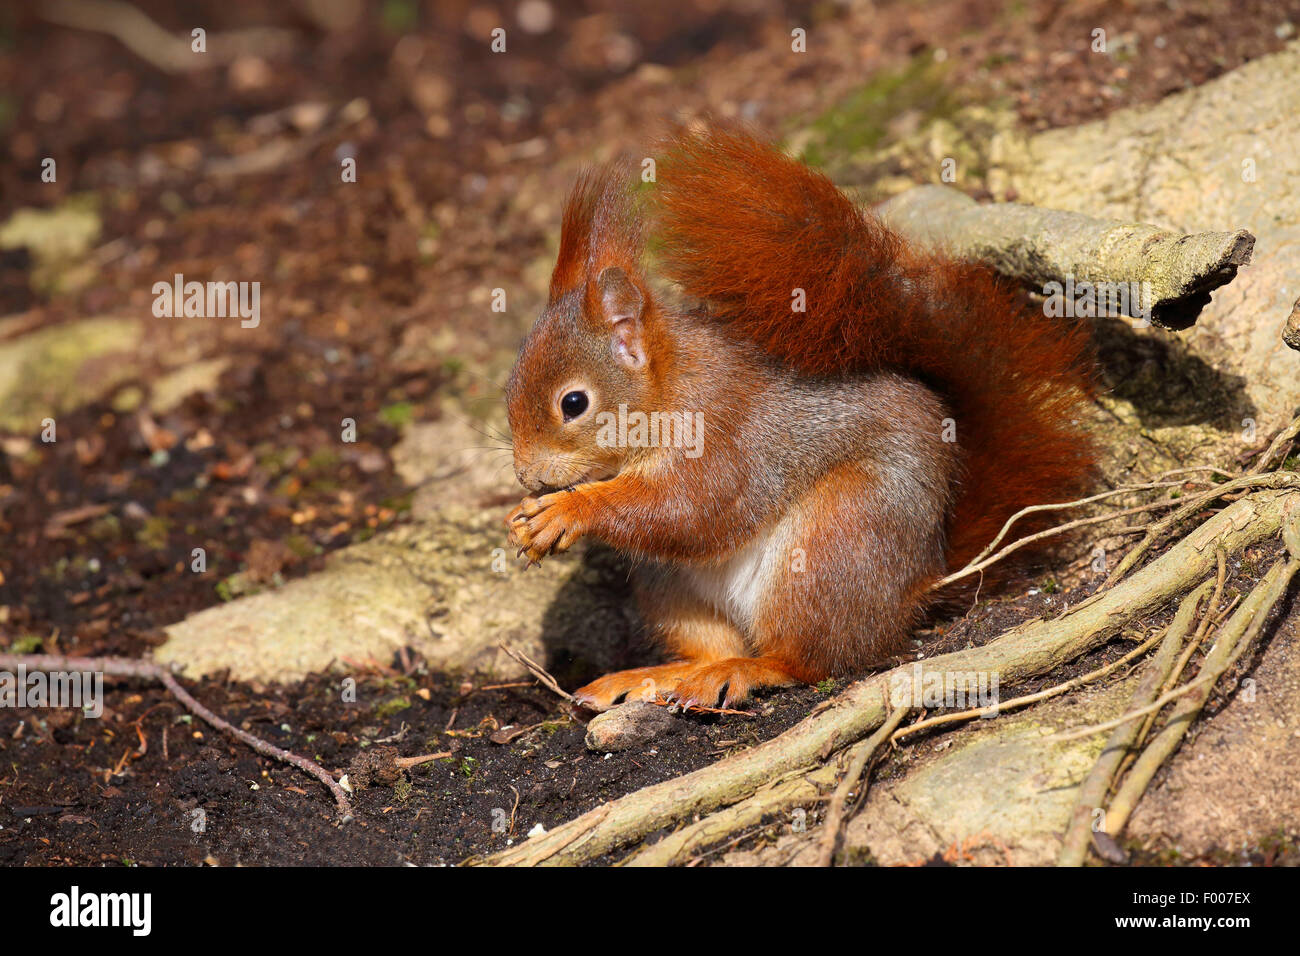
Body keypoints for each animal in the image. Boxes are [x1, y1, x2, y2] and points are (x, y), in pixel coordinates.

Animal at [501, 127, 1092, 712]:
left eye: (573, 403)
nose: (527, 476)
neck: (668, 390)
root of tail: (919, 584)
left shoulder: (725, 432)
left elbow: (694, 507)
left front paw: (568, 510)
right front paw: (522, 516)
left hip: (832, 543)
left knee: (810, 658)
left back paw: (749, 669)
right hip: (672, 587)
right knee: (714, 645)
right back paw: (659, 676)